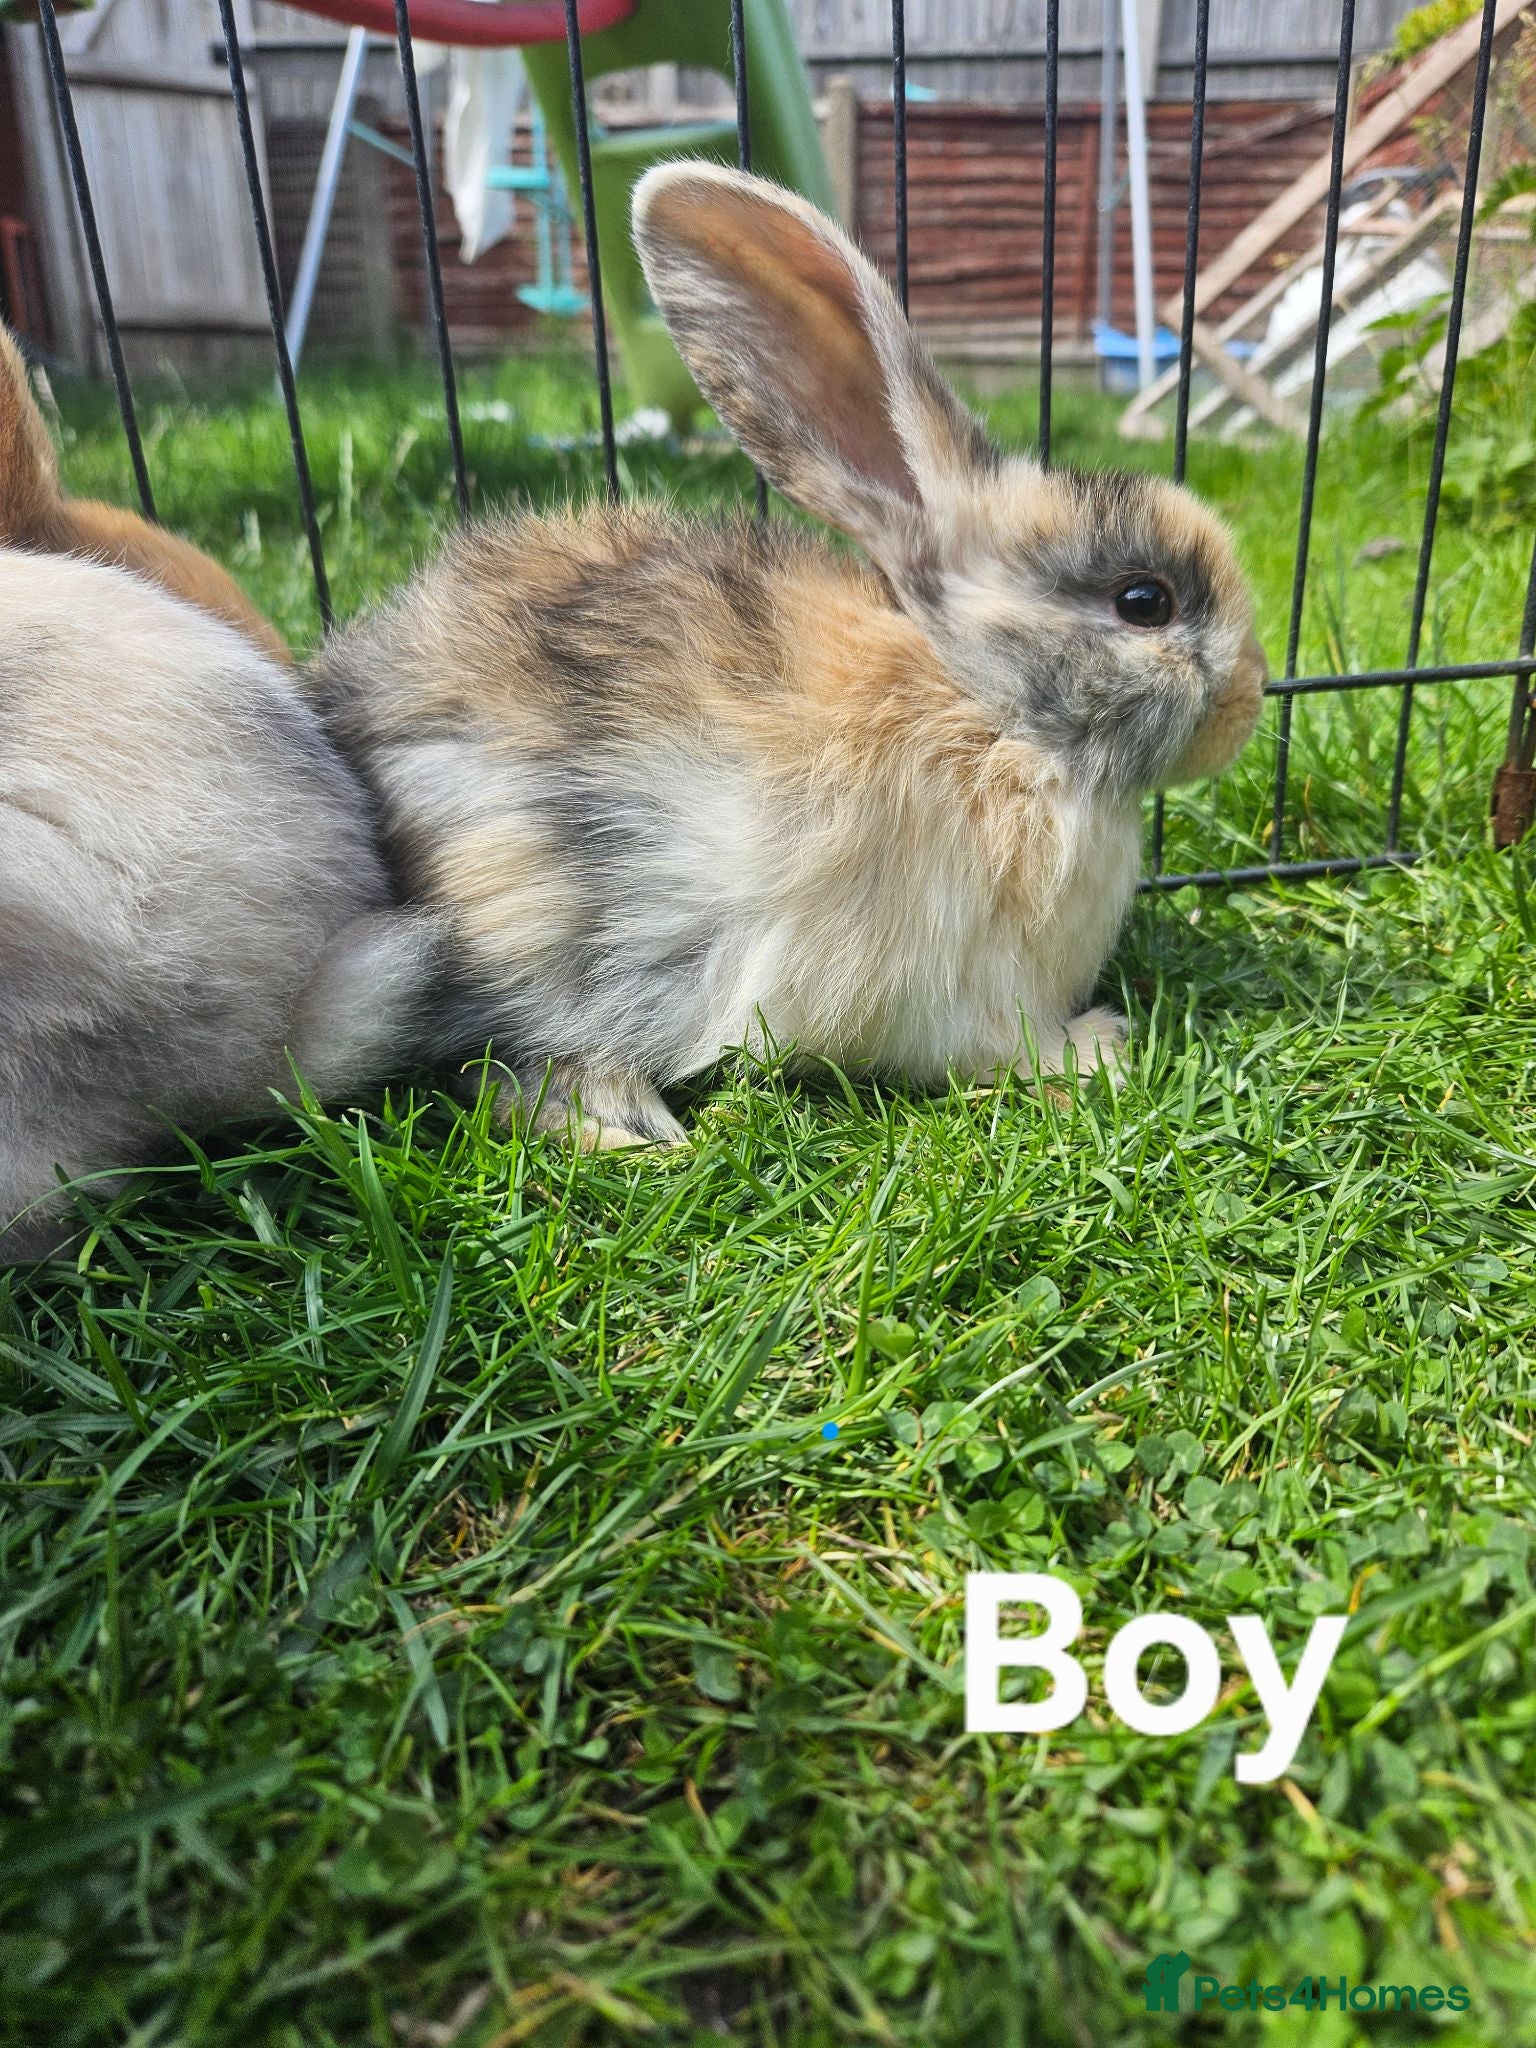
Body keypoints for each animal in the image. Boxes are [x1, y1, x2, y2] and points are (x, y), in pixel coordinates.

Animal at [313, 164, 1267, 1152]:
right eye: (1145, 601)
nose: (1251, 694)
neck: (988, 711)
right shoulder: (954, 987)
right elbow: (994, 1046)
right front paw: (1095, 1050)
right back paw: (632, 1128)